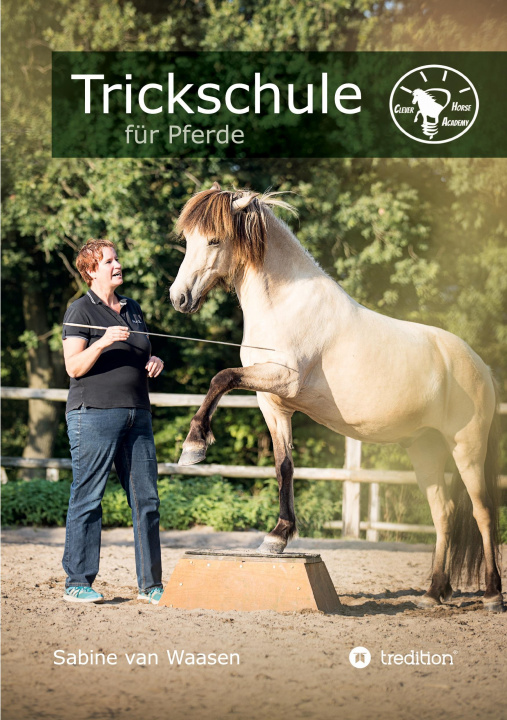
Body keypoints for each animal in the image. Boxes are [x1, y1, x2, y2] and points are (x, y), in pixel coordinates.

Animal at [169, 182, 503, 612]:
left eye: (213, 240)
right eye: (188, 240)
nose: (178, 298)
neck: (286, 303)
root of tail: (481, 366)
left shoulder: (282, 380)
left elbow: (220, 378)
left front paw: (194, 445)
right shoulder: (272, 403)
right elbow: (284, 467)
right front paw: (277, 536)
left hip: (467, 446)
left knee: (483, 512)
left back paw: (492, 594)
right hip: (425, 449)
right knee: (443, 513)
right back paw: (433, 593)